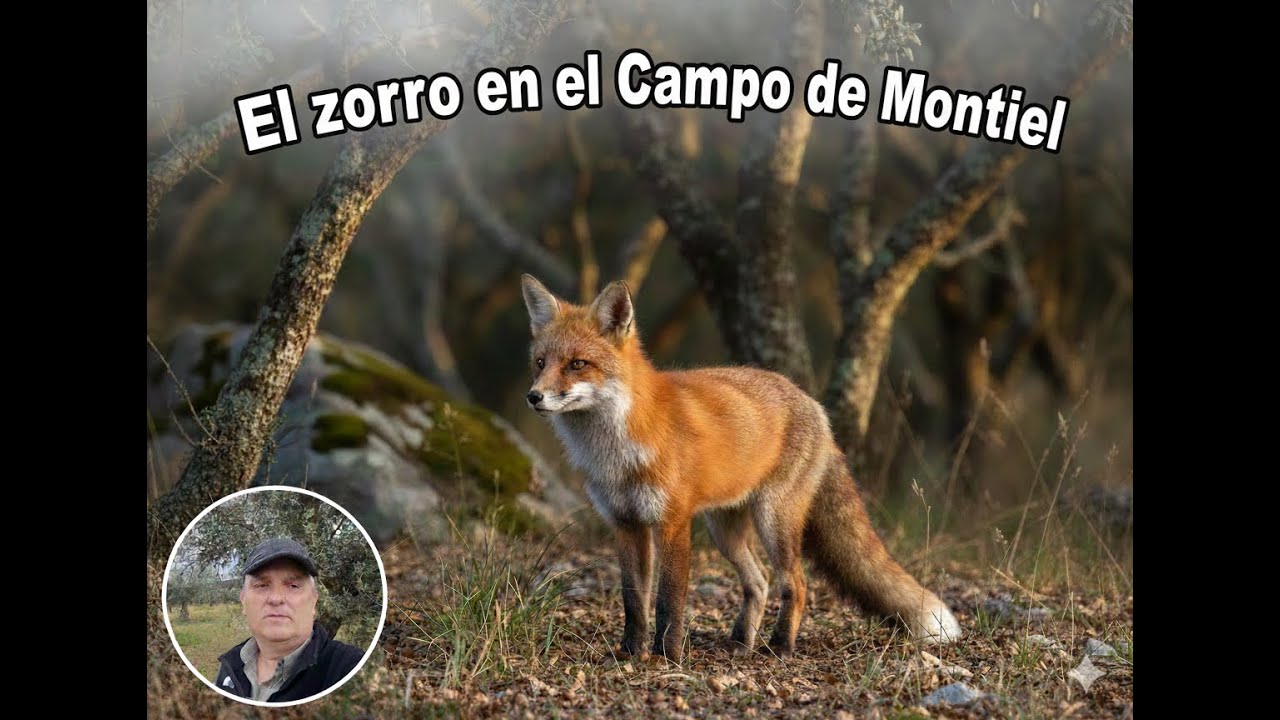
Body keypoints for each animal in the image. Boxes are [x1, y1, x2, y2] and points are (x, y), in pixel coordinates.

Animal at [520, 274, 962, 660]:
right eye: (540, 362)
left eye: (577, 364)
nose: (533, 396)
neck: (616, 452)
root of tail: (813, 403)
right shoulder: (625, 524)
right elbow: (634, 601)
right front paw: (629, 653)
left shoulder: (673, 523)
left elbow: (668, 601)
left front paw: (667, 657)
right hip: (725, 530)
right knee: (759, 583)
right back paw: (741, 642)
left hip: (773, 520)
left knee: (796, 583)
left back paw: (780, 647)